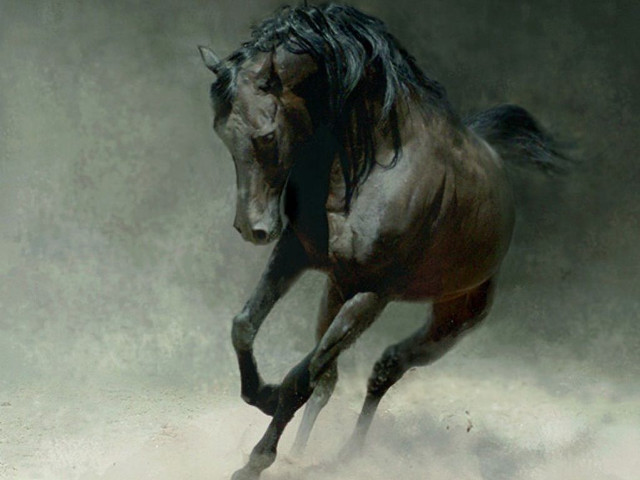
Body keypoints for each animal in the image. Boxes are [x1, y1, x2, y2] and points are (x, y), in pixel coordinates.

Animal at [199, 4, 566, 479]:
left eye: (267, 135)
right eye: (221, 132)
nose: (252, 229)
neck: (371, 165)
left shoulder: (374, 292)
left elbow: (302, 376)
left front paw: (256, 459)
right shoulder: (296, 253)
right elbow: (245, 327)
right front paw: (261, 395)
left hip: (452, 320)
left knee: (384, 368)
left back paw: (351, 455)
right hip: (336, 291)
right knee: (333, 380)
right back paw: (304, 452)